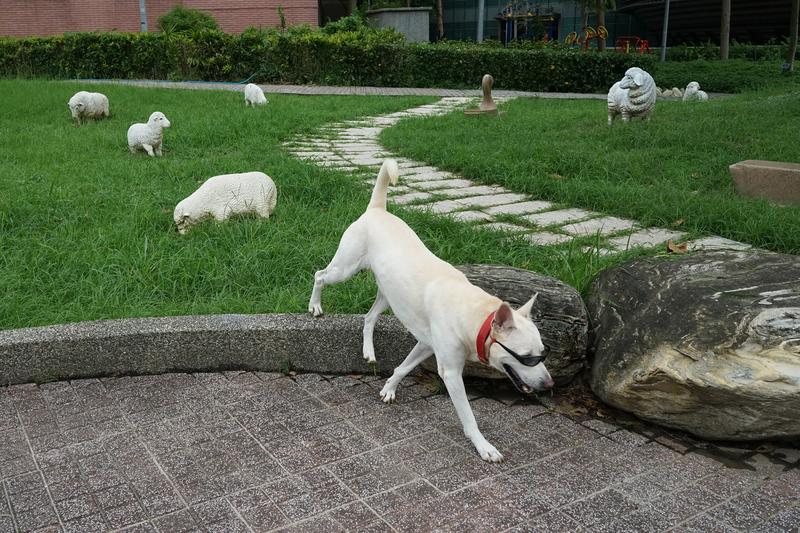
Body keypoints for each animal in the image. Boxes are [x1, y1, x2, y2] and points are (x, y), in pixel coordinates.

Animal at [310, 158, 552, 462]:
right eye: (527, 357)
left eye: (543, 353)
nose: (549, 385)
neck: (473, 314)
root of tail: (378, 209)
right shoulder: (450, 372)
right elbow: (469, 417)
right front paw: (484, 445)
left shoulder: (426, 344)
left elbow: (403, 367)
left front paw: (389, 389)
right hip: (344, 268)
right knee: (319, 275)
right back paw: (315, 305)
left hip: (388, 294)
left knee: (368, 317)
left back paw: (369, 351)